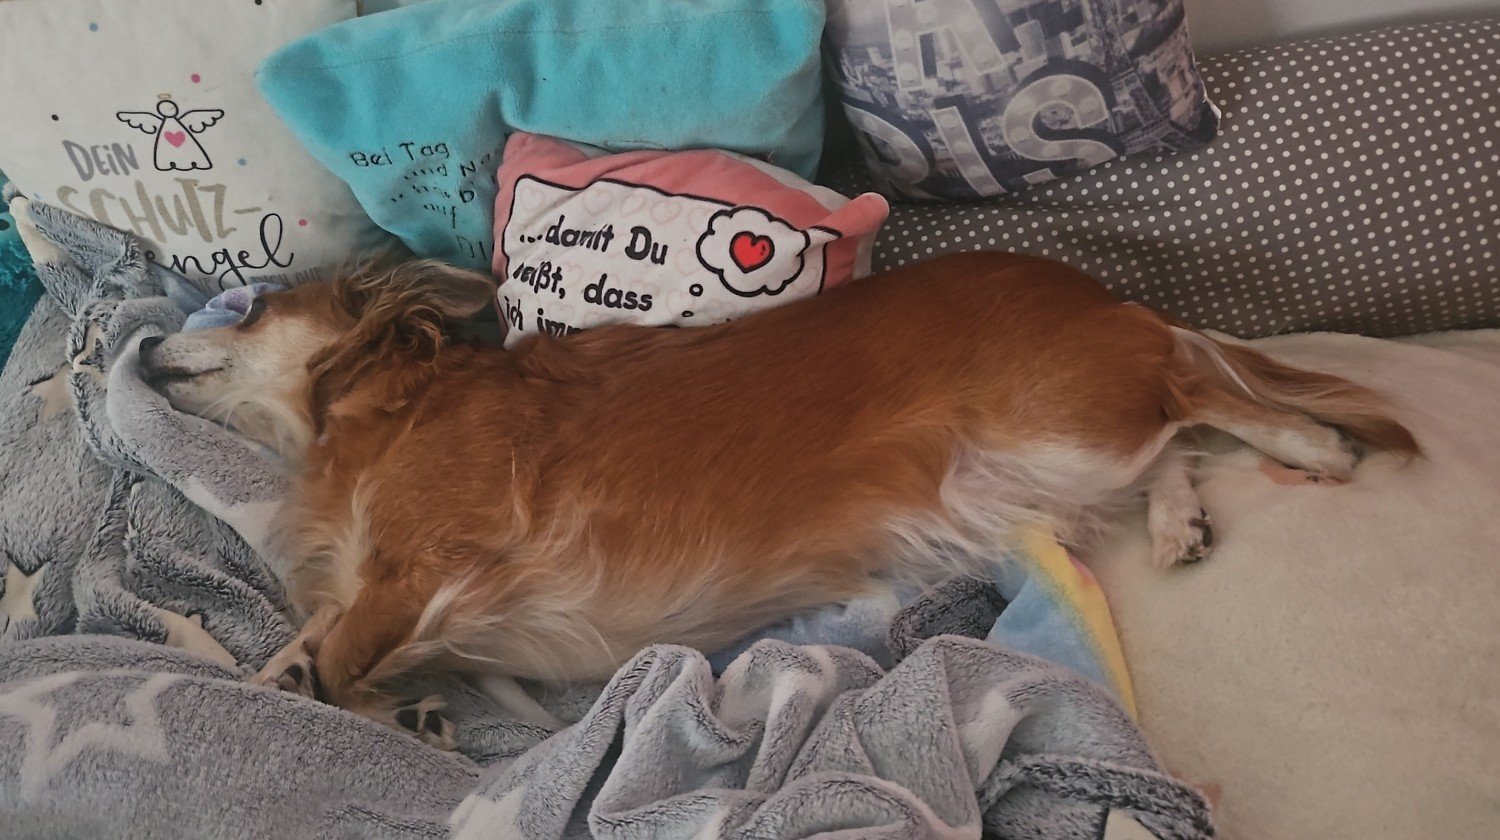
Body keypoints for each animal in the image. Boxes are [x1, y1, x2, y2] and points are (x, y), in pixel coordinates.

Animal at [138, 252, 1417, 747]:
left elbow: (340, 657)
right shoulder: (377, 590)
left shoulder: (426, 564)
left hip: (1053, 422)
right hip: (1025, 479)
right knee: (1171, 441)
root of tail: (1103, 297)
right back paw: (1179, 518)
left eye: (248, 305)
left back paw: (1313, 440)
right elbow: (305, 652)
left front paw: (376, 703)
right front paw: (334, 692)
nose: (141, 341)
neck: (383, 408)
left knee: (1199, 384)